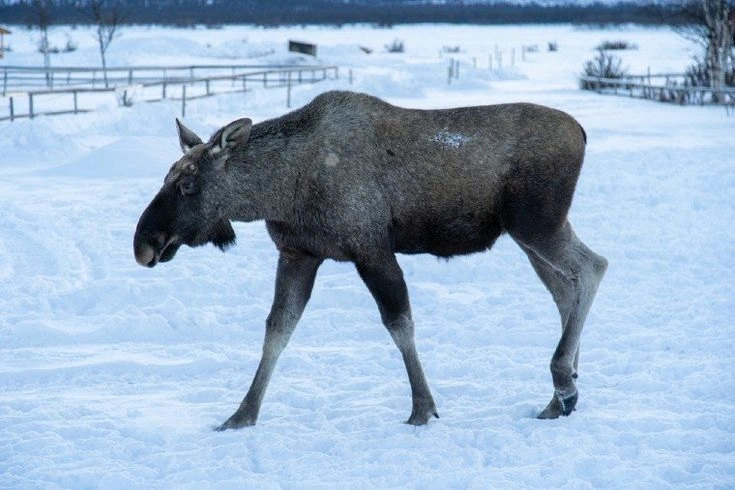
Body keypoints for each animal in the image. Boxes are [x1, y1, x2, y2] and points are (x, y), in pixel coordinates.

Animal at [133, 90, 607, 431]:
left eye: (189, 183)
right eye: (166, 176)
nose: (144, 244)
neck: (280, 190)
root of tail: (583, 132)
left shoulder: (371, 248)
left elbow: (400, 325)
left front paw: (422, 408)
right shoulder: (299, 253)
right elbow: (277, 331)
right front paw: (241, 415)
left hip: (536, 223)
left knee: (592, 267)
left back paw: (562, 380)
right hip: (529, 234)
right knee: (565, 288)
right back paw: (562, 393)